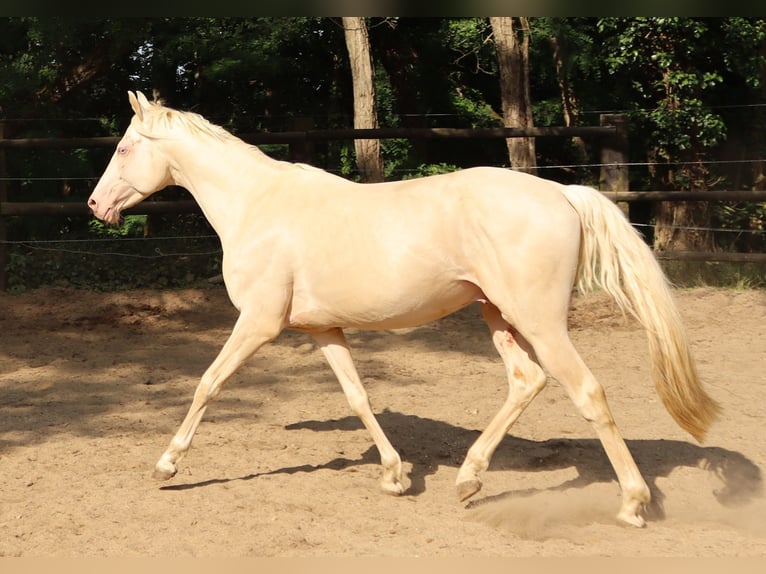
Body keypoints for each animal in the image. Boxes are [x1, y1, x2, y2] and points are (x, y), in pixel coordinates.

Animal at [87, 92, 724, 528]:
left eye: (123, 147)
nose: (95, 204)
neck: (257, 207)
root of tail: (563, 193)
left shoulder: (259, 325)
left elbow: (208, 383)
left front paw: (166, 465)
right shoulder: (323, 329)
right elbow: (358, 396)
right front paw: (395, 476)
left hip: (539, 320)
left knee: (587, 392)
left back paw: (633, 504)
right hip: (499, 316)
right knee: (527, 381)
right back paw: (468, 480)